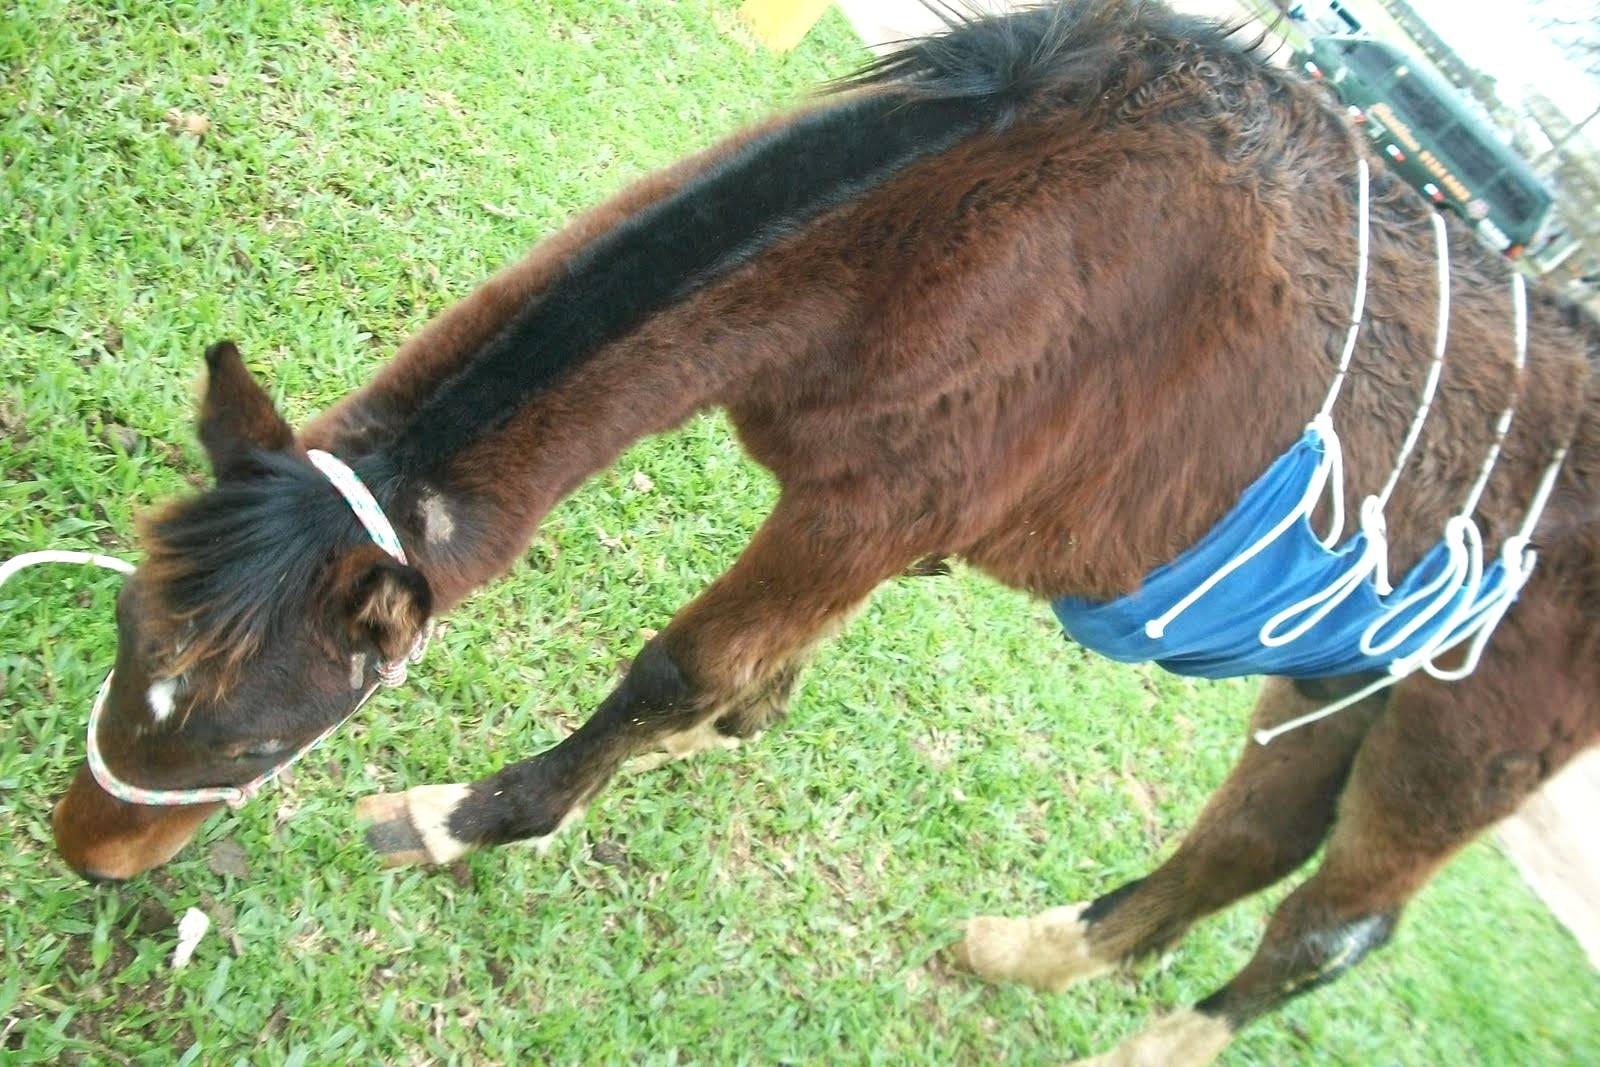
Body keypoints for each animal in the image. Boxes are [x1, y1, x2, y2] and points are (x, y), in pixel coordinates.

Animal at [44, 3, 1600, 1062]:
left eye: (252, 736)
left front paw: (473, 817)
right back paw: (1035, 950)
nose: (89, 853)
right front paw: (712, 730)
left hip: (1461, 735)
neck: (982, 214)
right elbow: (733, 684)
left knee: (1335, 920)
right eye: (124, 637)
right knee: (1253, 837)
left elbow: (677, 669)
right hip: (1343, 661)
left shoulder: (874, 509)